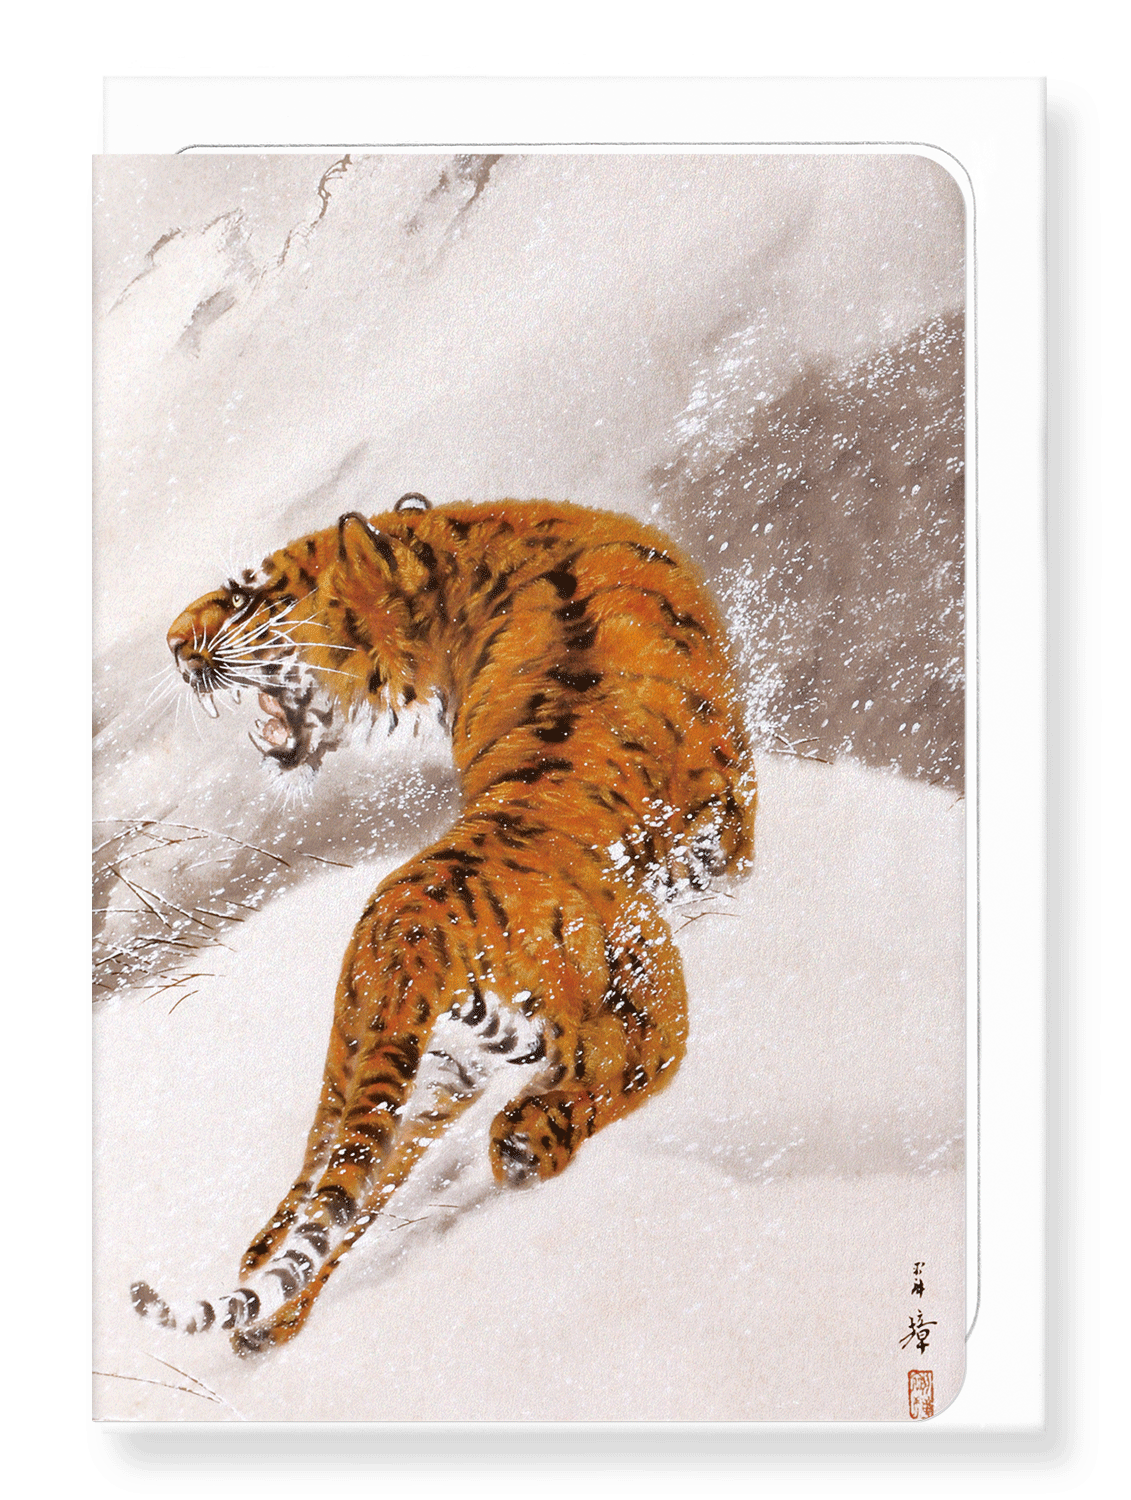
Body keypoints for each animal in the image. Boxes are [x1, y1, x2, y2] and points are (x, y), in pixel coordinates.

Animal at [131, 495, 756, 1355]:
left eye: (247, 594)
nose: (169, 640)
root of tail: (413, 937)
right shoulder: (730, 833)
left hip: (387, 1065)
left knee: (322, 1201)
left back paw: (268, 1320)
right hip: (641, 1000)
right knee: (616, 1077)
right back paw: (529, 1142)